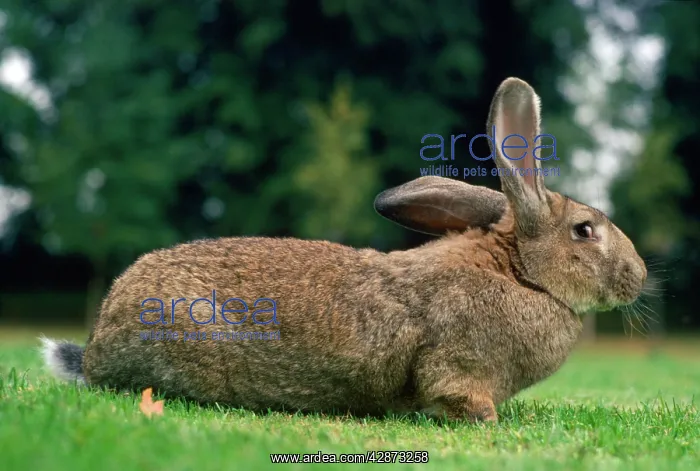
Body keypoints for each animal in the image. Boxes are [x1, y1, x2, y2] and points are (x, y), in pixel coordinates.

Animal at [41, 77, 647, 423]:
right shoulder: (456, 368)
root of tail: (97, 343)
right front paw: (486, 421)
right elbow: (458, 398)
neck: (519, 273)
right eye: (585, 231)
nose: (639, 277)